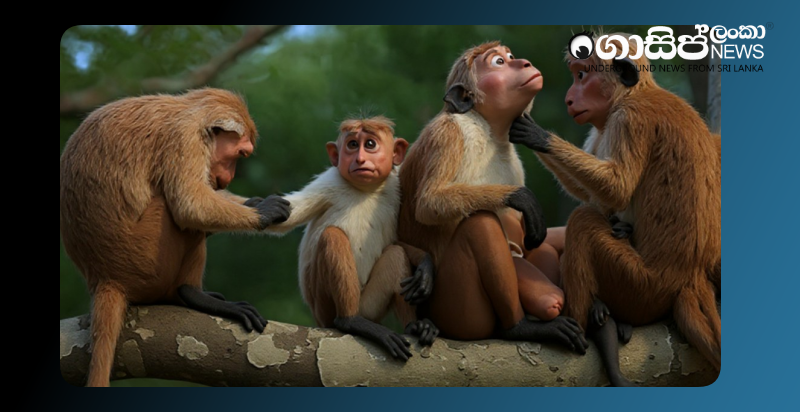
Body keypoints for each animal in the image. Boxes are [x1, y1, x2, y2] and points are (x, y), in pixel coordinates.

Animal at [60, 88, 291, 387]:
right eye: (239, 153)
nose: (227, 178)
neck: (190, 110)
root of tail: (105, 278)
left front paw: (255, 203)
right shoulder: (185, 139)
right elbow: (190, 207)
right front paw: (265, 211)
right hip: (144, 263)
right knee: (174, 213)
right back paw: (190, 294)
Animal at [262, 116, 439, 360]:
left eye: (370, 144)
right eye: (353, 145)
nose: (360, 159)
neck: (366, 190)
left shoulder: (397, 187)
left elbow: (396, 242)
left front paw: (425, 266)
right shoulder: (330, 180)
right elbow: (286, 217)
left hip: (369, 306)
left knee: (395, 254)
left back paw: (414, 326)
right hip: (324, 308)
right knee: (332, 236)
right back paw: (350, 321)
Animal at [397, 41, 588, 354]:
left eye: (510, 57)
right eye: (499, 62)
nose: (524, 63)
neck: (489, 129)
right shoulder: (449, 134)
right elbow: (428, 203)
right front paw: (521, 198)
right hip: (458, 310)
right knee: (481, 224)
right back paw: (517, 328)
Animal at [509, 33, 721, 385]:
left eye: (583, 76)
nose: (570, 98)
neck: (638, 92)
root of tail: (688, 275)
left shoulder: (629, 118)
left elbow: (617, 189)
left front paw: (538, 136)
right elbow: (590, 193)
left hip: (641, 286)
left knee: (583, 222)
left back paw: (582, 325)